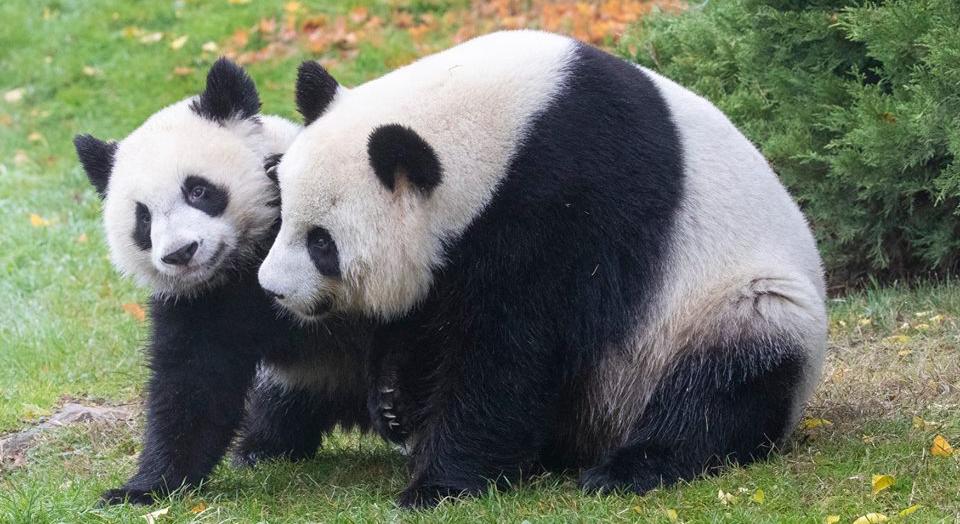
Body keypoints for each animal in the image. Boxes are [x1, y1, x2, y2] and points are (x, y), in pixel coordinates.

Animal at [74, 59, 372, 506]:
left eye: (198, 190)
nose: (181, 253)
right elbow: (194, 384)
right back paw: (263, 447)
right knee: (282, 401)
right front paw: (145, 488)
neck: (243, 263)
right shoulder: (202, 302)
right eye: (143, 219)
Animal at [258, 30, 828, 506]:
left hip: (726, 306)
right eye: (283, 212)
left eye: (322, 243)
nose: (274, 290)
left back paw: (627, 470)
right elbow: (426, 315)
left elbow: (512, 347)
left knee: (721, 384)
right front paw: (395, 401)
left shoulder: (567, 203)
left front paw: (438, 486)